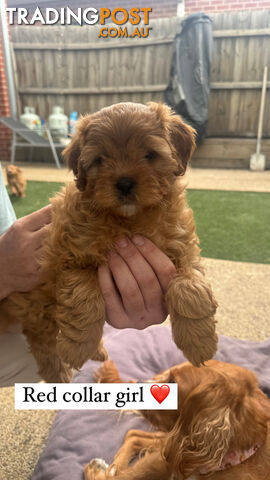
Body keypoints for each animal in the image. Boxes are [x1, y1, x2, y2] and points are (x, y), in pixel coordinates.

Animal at [0, 102, 217, 382]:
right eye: (100, 160)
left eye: (149, 154)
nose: (124, 183)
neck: (129, 220)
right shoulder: (69, 257)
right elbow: (83, 294)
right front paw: (78, 346)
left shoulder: (184, 251)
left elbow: (191, 288)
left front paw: (199, 343)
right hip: (37, 312)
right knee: (46, 350)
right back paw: (64, 372)